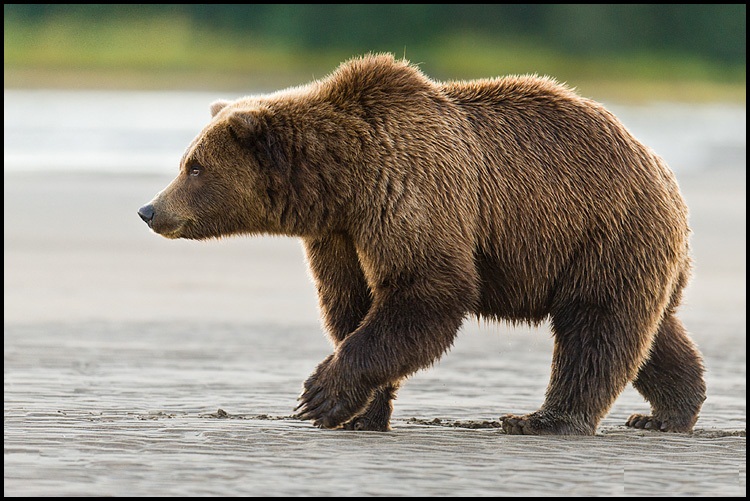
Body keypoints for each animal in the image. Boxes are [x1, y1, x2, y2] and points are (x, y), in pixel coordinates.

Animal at [138, 54, 706, 435]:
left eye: (194, 166)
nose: (150, 210)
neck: (344, 183)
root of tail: (662, 168)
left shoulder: (412, 193)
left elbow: (425, 292)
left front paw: (319, 396)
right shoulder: (341, 236)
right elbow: (352, 306)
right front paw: (358, 412)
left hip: (600, 229)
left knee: (595, 326)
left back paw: (544, 418)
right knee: (652, 332)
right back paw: (668, 411)